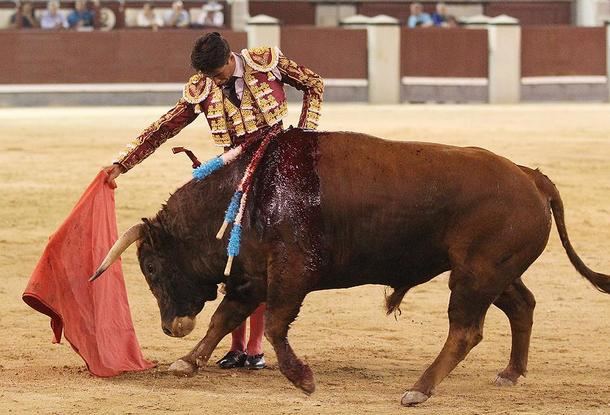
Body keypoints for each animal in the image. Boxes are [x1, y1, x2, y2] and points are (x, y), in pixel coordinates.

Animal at [88, 129, 604, 406]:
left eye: (151, 269)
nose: (170, 326)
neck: (247, 191)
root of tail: (531, 176)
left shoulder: (292, 273)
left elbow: (274, 325)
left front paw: (303, 378)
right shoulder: (254, 276)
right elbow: (224, 318)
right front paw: (187, 362)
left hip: (475, 275)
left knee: (465, 331)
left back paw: (418, 390)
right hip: (495, 272)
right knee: (522, 305)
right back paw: (511, 373)